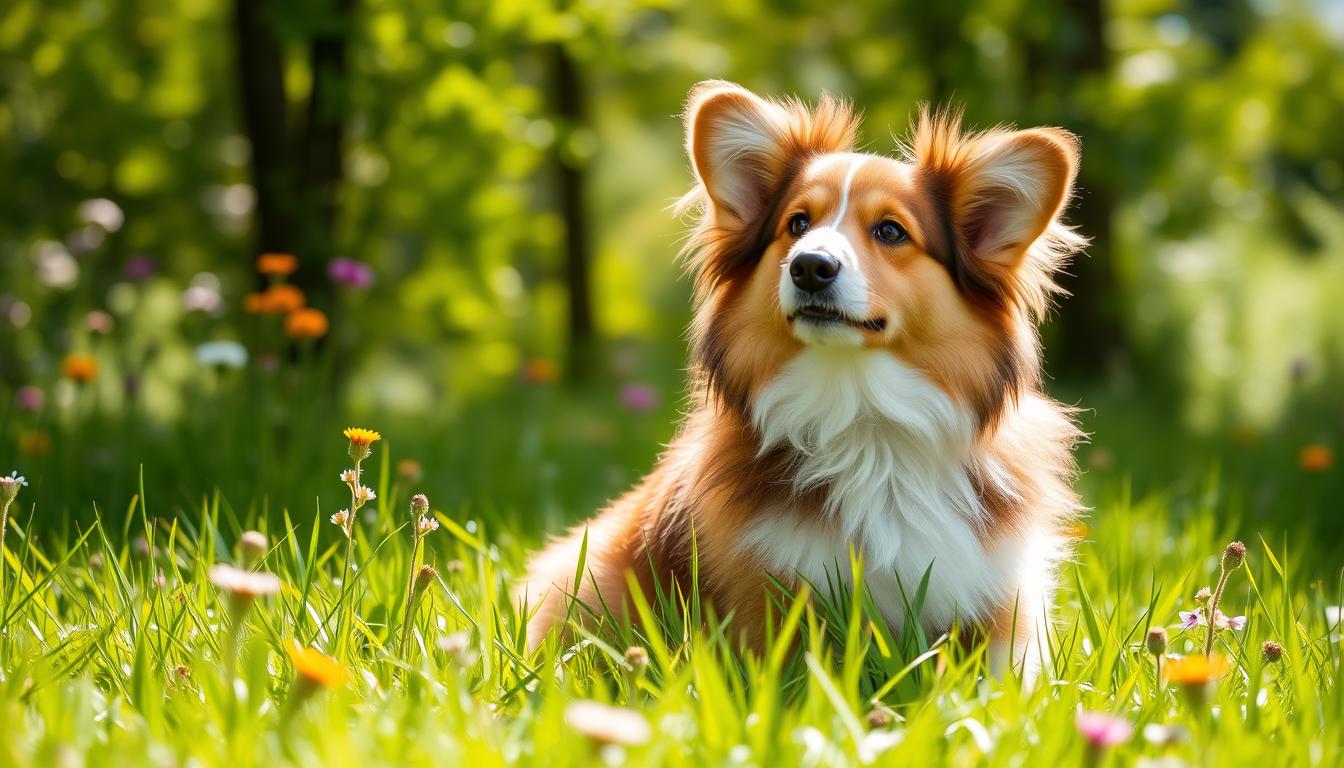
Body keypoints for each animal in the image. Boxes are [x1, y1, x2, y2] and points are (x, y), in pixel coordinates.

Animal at [518, 78, 1085, 677]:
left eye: (890, 231)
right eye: (797, 224)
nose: (809, 266)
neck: (863, 416)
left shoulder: (998, 601)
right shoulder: (769, 596)